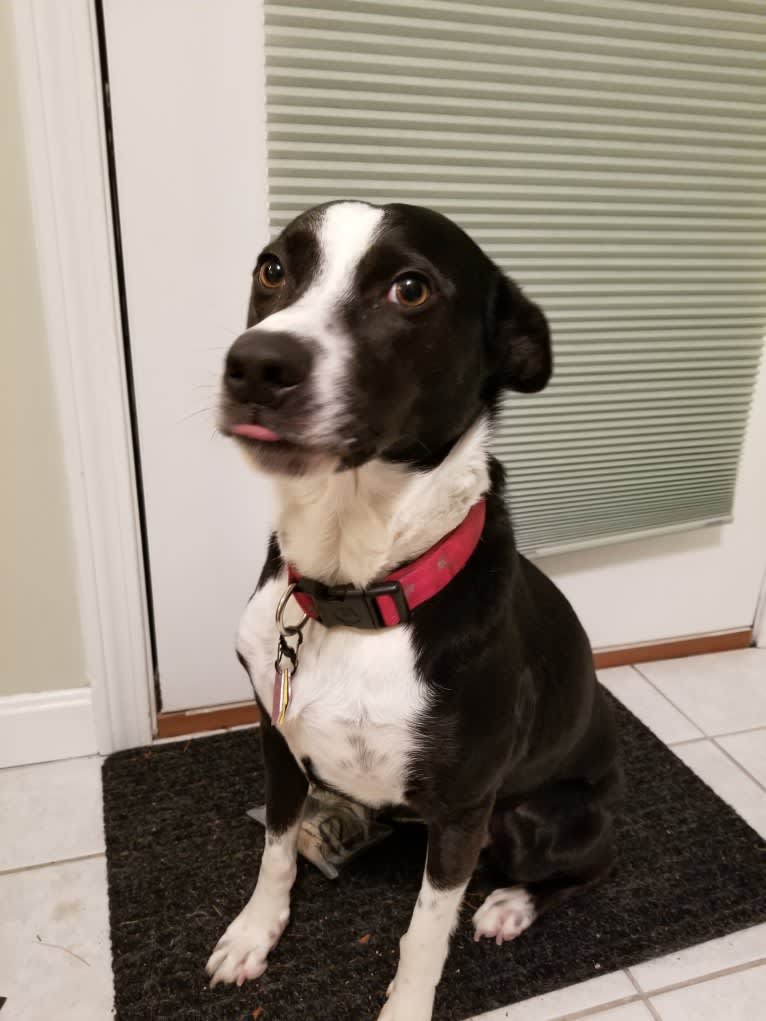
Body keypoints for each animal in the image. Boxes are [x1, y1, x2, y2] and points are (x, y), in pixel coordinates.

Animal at [208, 201, 625, 1021]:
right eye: (272, 269)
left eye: (411, 288)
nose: (256, 365)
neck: (351, 587)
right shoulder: (277, 740)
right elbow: (274, 850)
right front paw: (254, 933)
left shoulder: (464, 810)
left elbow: (425, 934)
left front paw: (406, 1004)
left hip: (537, 820)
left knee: (595, 866)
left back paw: (511, 904)